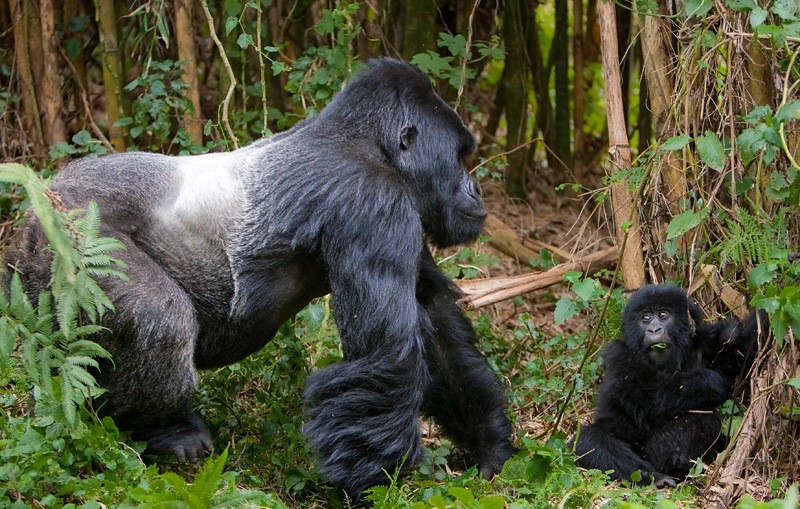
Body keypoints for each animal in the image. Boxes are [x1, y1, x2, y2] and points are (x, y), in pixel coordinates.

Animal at [3, 58, 516, 496]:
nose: (476, 190)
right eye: (459, 156)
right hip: (72, 232)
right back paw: (165, 429)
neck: (368, 143)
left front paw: (488, 444)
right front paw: (378, 484)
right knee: (160, 317)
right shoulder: (375, 202)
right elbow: (386, 355)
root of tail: (41, 192)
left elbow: (434, 318)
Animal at [572, 284, 764, 486]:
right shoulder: (620, 354)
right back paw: (654, 477)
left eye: (663, 315)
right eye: (645, 318)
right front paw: (709, 382)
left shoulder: (711, 341)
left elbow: (743, 342)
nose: (654, 330)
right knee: (588, 440)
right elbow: (650, 398)